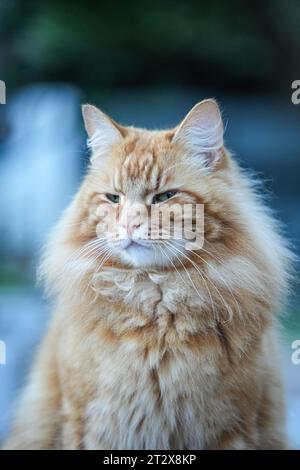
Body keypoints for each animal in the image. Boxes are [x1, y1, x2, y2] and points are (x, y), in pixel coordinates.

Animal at [3, 98, 292, 448]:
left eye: (165, 197)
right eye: (114, 198)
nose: (130, 224)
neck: (154, 305)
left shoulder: (230, 428)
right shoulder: (90, 424)